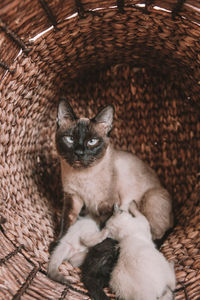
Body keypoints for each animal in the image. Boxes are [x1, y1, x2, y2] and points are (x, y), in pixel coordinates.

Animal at [54, 97, 173, 240]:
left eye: (92, 141)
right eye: (70, 139)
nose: (79, 153)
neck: (83, 175)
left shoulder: (108, 204)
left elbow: (103, 226)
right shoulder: (73, 197)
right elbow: (66, 221)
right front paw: (59, 241)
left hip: (151, 196)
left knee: (155, 235)